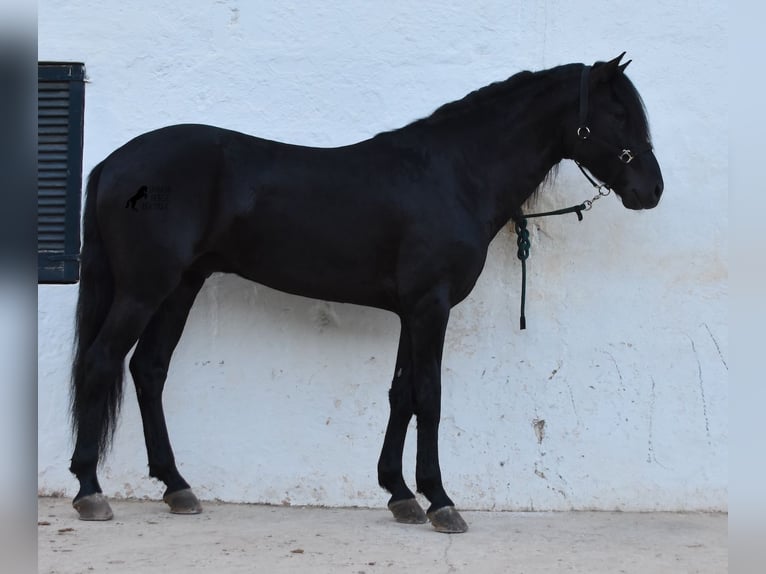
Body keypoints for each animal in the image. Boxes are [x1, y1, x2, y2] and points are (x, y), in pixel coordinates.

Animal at [69, 55, 664, 536]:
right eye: (618, 115)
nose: (651, 190)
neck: (454, 174)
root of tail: (113, 163)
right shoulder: (430, 308)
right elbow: (429, 396)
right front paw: (441, 501)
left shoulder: (411, 311)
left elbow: (401, 395)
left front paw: (400, 495)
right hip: (146, 288)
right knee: (101, 361)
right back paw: (90, 491)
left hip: (180, 286)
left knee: (148, 369)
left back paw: (177, 486)